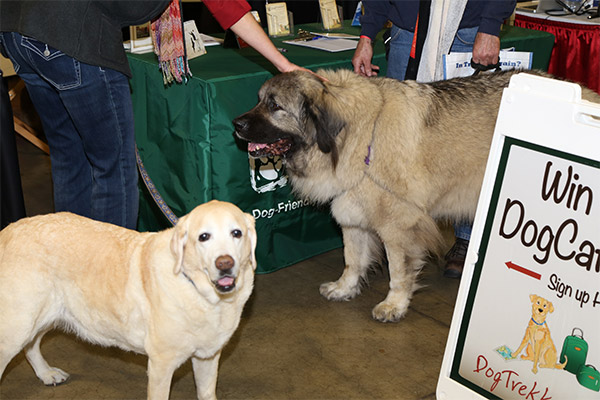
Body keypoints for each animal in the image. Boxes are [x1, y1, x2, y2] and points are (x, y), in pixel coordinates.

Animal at [0, 200, 255, 400]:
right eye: (204, 237)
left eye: (236, 233)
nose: (225, 263)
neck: (204, 295)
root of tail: (8, 230)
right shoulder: (160, 365)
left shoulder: (207, 356)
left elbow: (206, 392)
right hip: (17, 326)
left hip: (43, 315)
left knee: (31, 345)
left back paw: (46, 373)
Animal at [232, 69, 600, 324]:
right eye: (259, 99)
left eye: (274, 106)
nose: (236, 124)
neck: (356, 134)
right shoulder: (353, 217)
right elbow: (352, 259)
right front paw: (345, 287)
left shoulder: (399, 226)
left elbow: (399, 270)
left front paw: (394, 304)